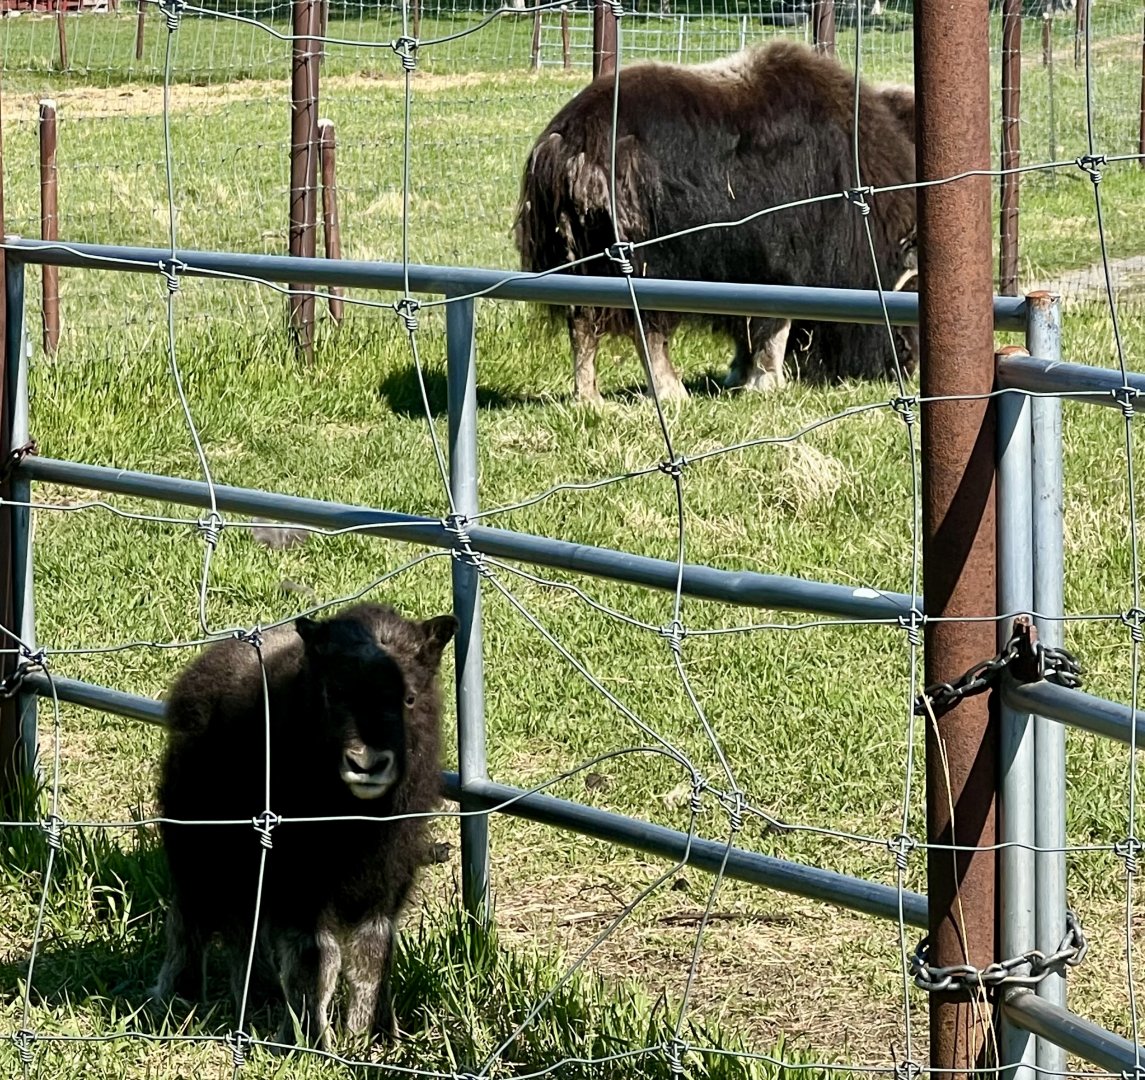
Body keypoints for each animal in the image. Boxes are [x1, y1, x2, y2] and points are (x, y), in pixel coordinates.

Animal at [513, 41, 919, 405]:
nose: (905, 366)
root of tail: (568, 142)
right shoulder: (783, 265)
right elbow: (775, 324)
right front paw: (768, 383)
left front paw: (740, 376)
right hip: (648, 264)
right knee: (647, 328)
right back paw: (672, 393)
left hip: (581, 260)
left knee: (582, 323)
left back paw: (590, 400)